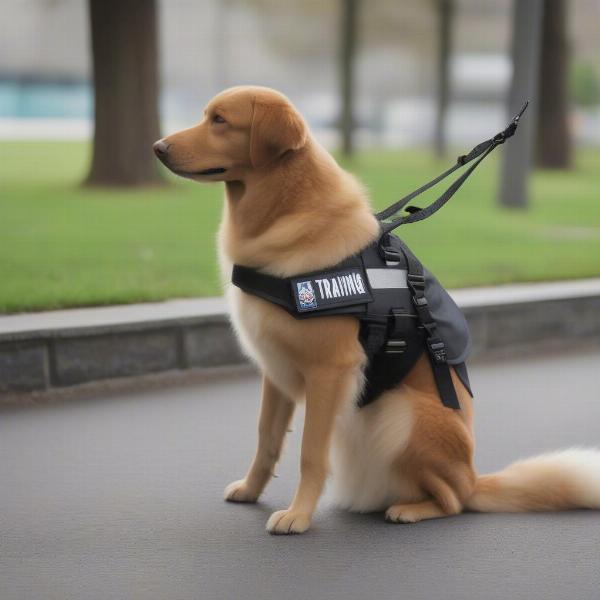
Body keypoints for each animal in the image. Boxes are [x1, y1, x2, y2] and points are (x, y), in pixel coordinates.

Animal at [155, 84, 600, 536]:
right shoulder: (276, 370)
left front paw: (299, 515)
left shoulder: (330, 371)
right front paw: (251, 489)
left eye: (220, 121)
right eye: (207, 116)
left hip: (399, 412)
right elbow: (267, 438)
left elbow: (310, 453)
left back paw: (413, 509)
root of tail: (475, 478)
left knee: (454, 500)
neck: (285, 209)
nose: (158, 147)